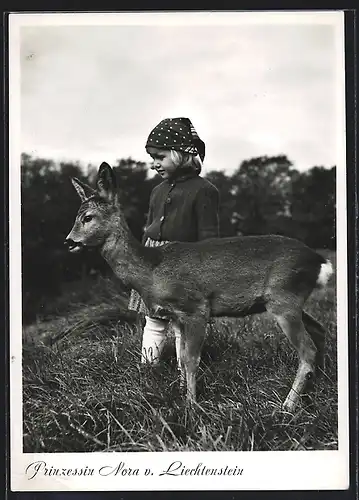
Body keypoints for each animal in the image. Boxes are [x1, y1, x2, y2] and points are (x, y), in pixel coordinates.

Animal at [65, 162, 334, 412]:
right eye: (76, 216)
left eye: (87, 217)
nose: (69, 241)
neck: (152, 269)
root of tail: (318, 261)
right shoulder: (176, 316)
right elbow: (181, 357)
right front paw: (182, 395)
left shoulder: (196, 308)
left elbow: (191, 359)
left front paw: (192, 406)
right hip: (289, 300)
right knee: (319, 330)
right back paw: (316, 388)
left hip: (283, 297)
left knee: (307, 351)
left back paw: (287, 406)